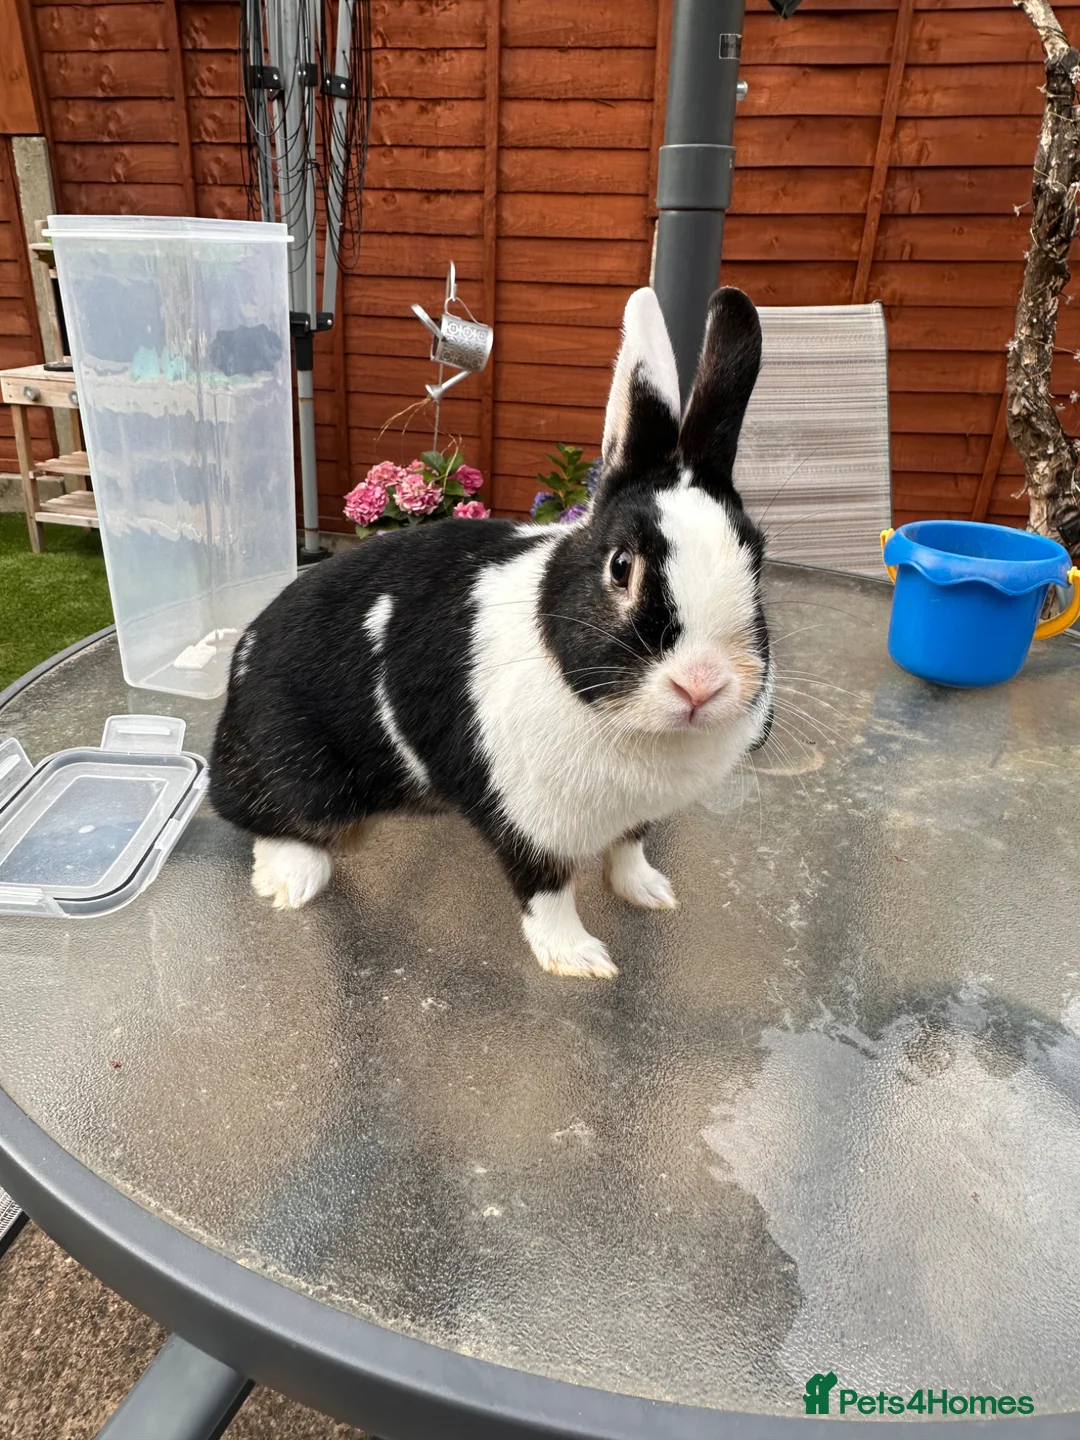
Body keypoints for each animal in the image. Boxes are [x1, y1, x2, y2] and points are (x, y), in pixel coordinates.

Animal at [209, 285, 773, 979]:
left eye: (758, 559)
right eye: (621, 565)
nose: (701, 686)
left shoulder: (633, 819)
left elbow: (629, 850)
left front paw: (650, 893)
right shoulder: (526, 823)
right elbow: (547, 893)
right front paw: (579, 960)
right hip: (292, 765)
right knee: (266, 820)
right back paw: (291, 881)